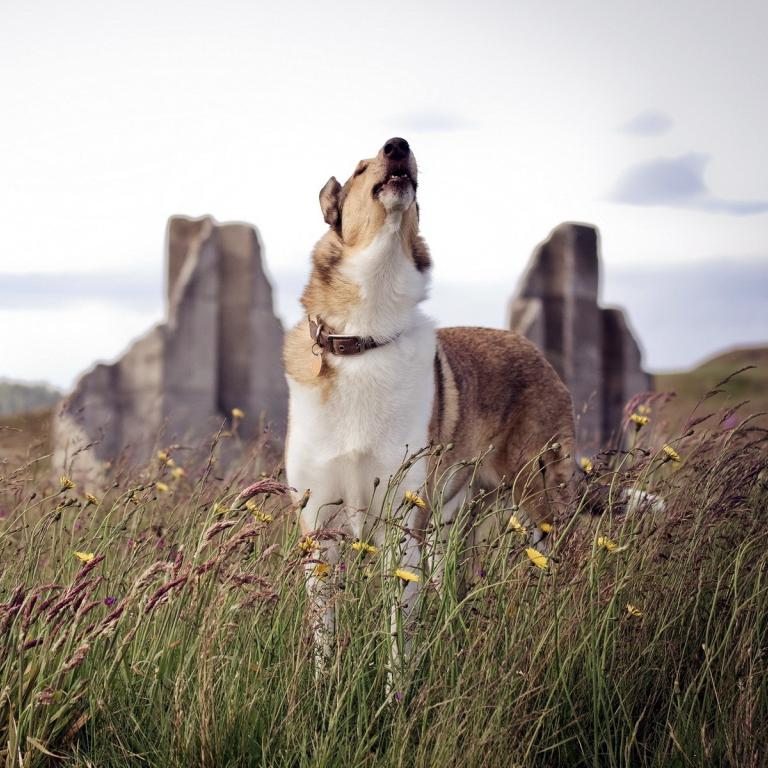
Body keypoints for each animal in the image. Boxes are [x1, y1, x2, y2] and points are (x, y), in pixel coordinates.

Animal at [284, 138, 572, 672]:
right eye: (360, 169)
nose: (398, 145)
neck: (365, 336)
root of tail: (535, 350)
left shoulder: (401, 525)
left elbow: (398, 638)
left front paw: (398, 691)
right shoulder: (320, 528)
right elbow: (324, 638)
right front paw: (324, 689)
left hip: (536, 498)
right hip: (448, 520)